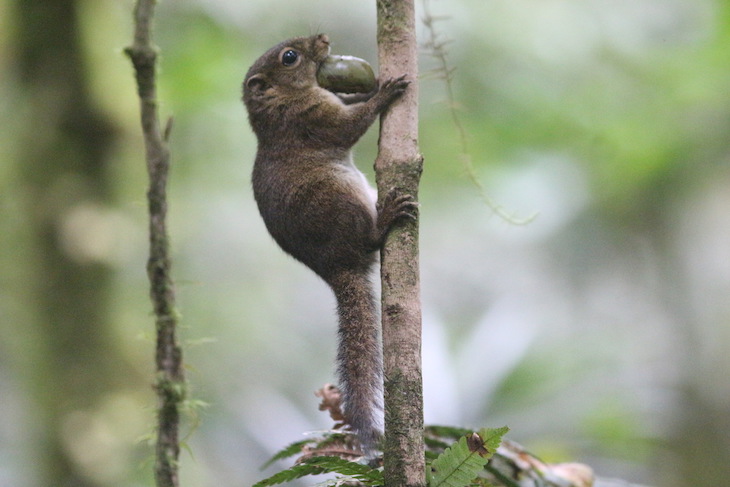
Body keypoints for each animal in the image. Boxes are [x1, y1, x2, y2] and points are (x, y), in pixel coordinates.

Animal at [242, 33, 416, 452]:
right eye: (289, 57)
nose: (323, 39)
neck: (281, 102)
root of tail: (335, 267)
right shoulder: (311, 118)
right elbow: (348, 126)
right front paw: (383, 93)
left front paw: (368, 87)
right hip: (338, 200)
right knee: (369, 240)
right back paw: (385, 219)